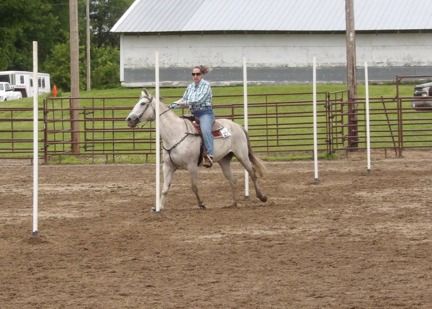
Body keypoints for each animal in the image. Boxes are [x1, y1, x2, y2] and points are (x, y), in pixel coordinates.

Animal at [125, 89, 266, 209]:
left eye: (143, 103)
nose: (129, 119)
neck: (175, 133)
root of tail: (238, 126)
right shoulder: (168, 166)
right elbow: (165, 188)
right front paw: (159, 207)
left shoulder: (191, 165)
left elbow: (194, 186)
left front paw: (201, 204)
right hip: (224, 160)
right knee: (232, 179)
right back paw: (234, 203)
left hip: (242, 155)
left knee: (252, 173)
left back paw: (262, 197)